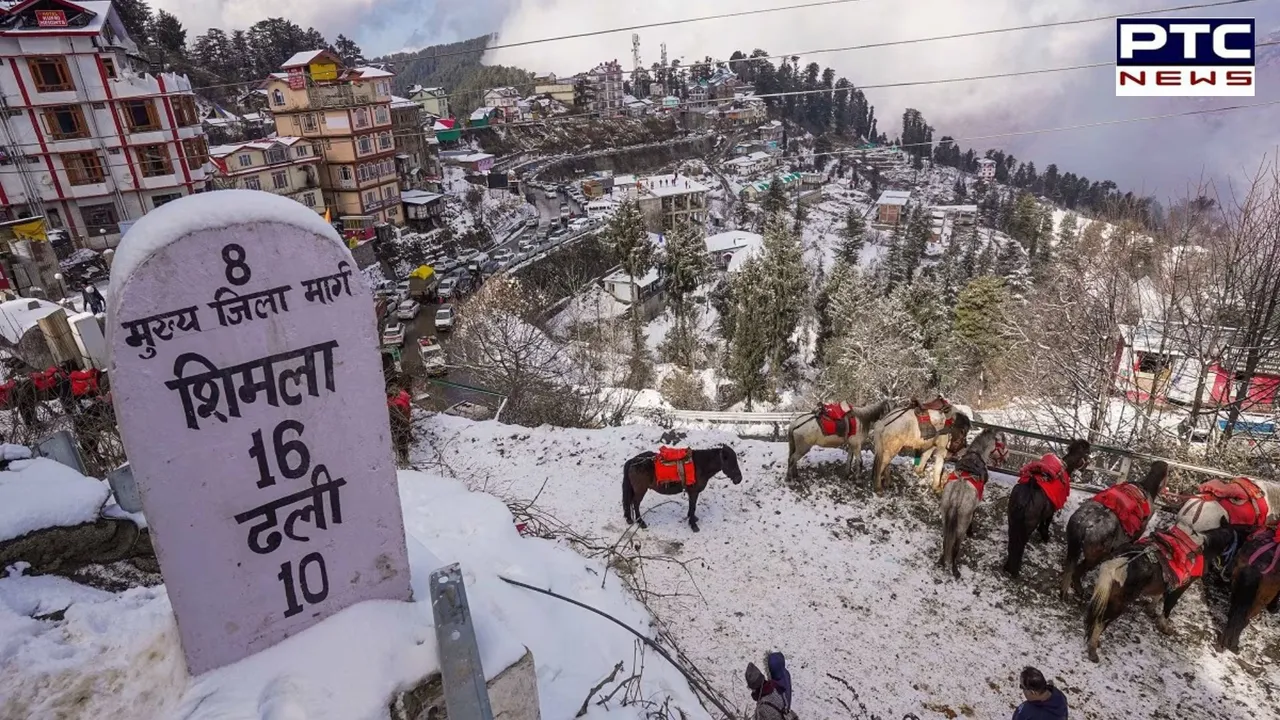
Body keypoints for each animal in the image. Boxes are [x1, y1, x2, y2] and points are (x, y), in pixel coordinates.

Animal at [998, 435, 1090, 573]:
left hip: (1012, 518)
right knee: (1020, 543)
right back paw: (1014, 569)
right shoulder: (1052, 510)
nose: (1085, 468)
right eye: (1087, 453)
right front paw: (1045, 536)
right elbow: (1046, 523)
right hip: (1027, 525)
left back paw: (1009, 567)